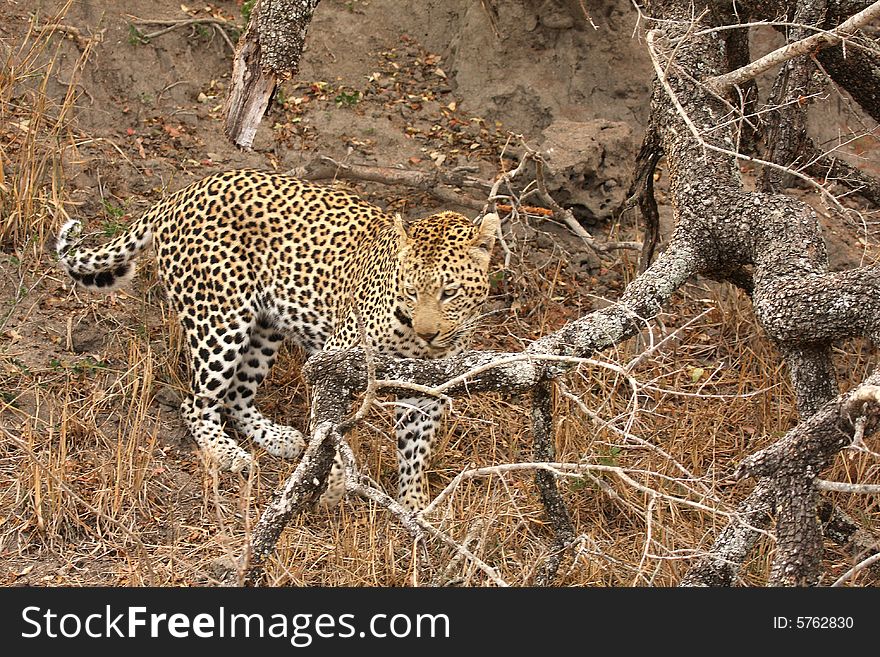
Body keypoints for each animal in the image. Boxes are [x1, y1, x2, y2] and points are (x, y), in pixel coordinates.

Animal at [55, 168, 498, 508]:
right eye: (409, 290)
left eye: (449, 293)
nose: (428, 334)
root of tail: (180, 195)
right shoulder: (334, 362)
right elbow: (330, 434)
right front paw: (333, 487)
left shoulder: (428, 388)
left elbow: (415, 450)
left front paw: (415, 507)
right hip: (220, 321)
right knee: (196, 403)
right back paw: (229, 455)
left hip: (264, 327)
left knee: (237, 396)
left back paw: (277, 439)